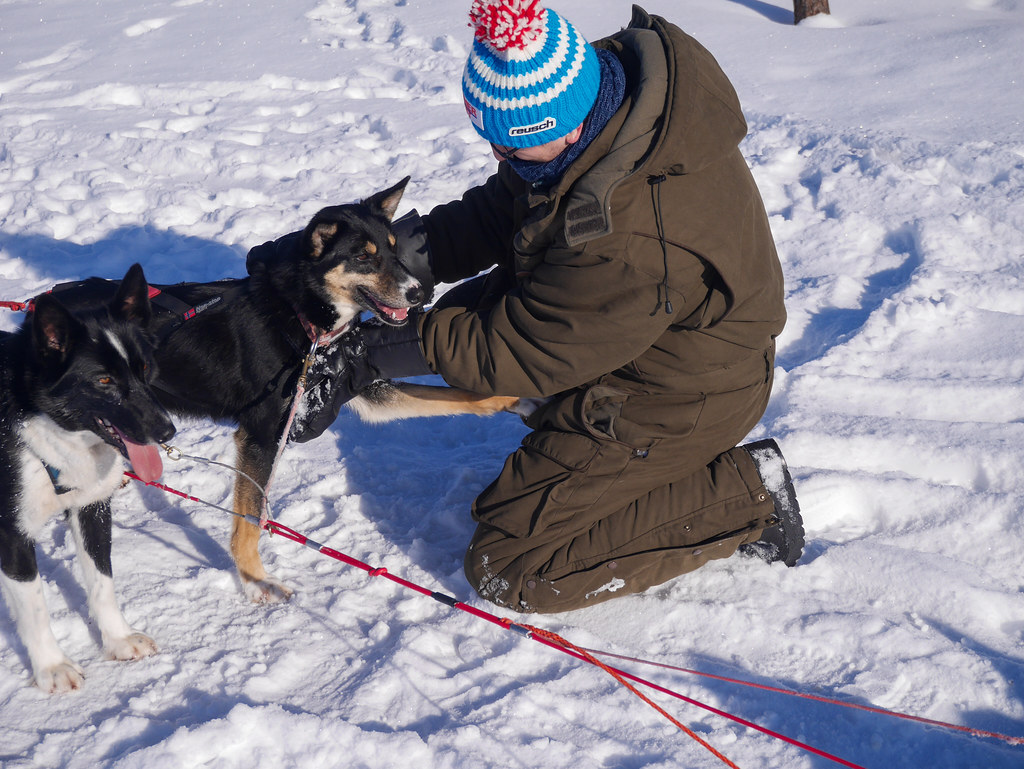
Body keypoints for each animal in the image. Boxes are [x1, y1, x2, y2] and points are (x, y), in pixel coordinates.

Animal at [0, 264, 175, 692]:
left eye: (144, 368)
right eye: (104, 381)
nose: (167, 432)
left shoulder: (91, 509)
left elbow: (102, 583)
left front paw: (117, 639)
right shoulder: (12, 534)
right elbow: (35, 608)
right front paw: (51, 667)